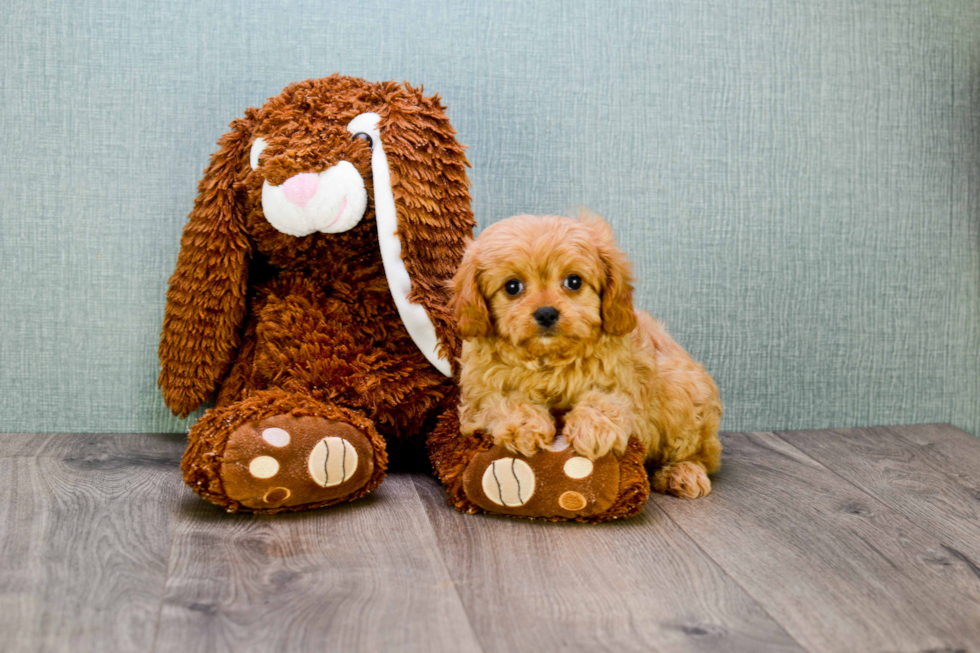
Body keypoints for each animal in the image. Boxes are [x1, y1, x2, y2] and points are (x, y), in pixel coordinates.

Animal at [452, 211, 720, 496]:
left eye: (574, 281)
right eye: (512, 287)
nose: (546, 313)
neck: (549, 359)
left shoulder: (627, 385)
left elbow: (605, 400)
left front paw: (593, 428)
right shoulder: (477, 398)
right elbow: (505, 401)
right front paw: (525, 427)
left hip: (682, 393)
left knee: (699, 454)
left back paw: (682, 473)